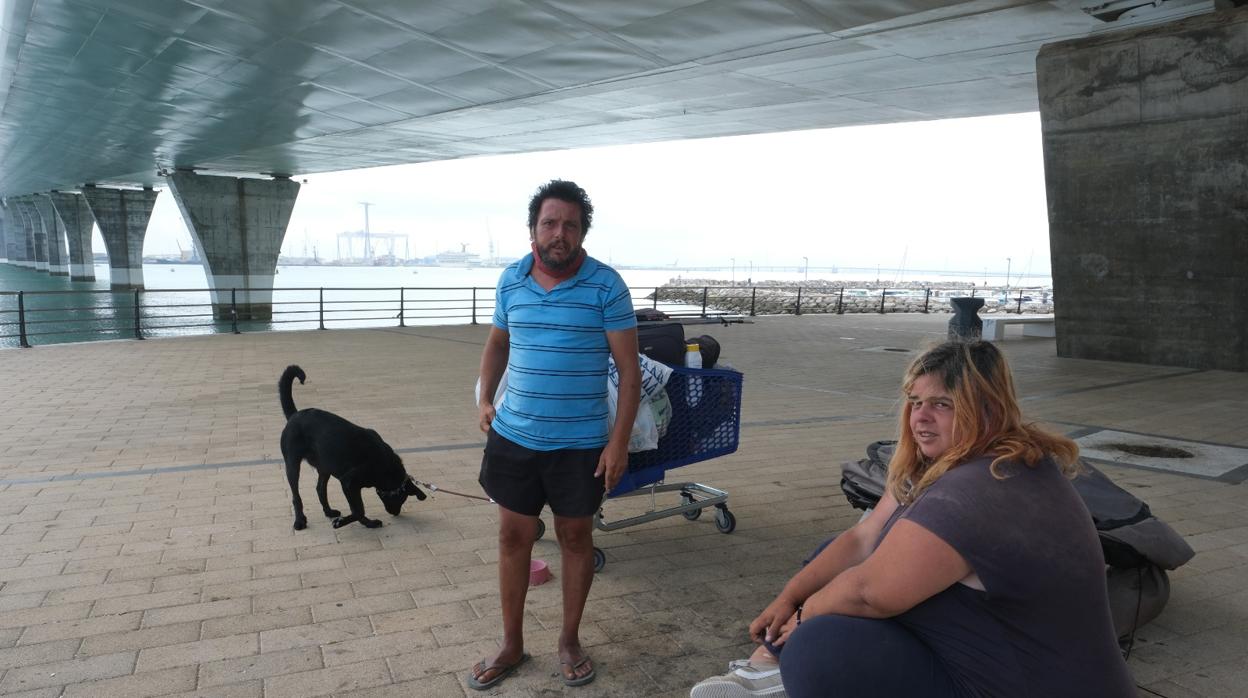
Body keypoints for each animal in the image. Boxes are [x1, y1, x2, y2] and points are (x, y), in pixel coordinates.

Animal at [277, 367, 424, 529]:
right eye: (402, 499)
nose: (395, 513)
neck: (386, 465)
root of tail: (294, 415)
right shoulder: (349, 482)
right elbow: (358, 510)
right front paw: (348, 522)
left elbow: (357, 510)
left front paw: (366, 523)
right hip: (292, 464)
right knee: (296, 495)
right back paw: (300, 520)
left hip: (325, 466)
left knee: (320, 489)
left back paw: (328, 511)